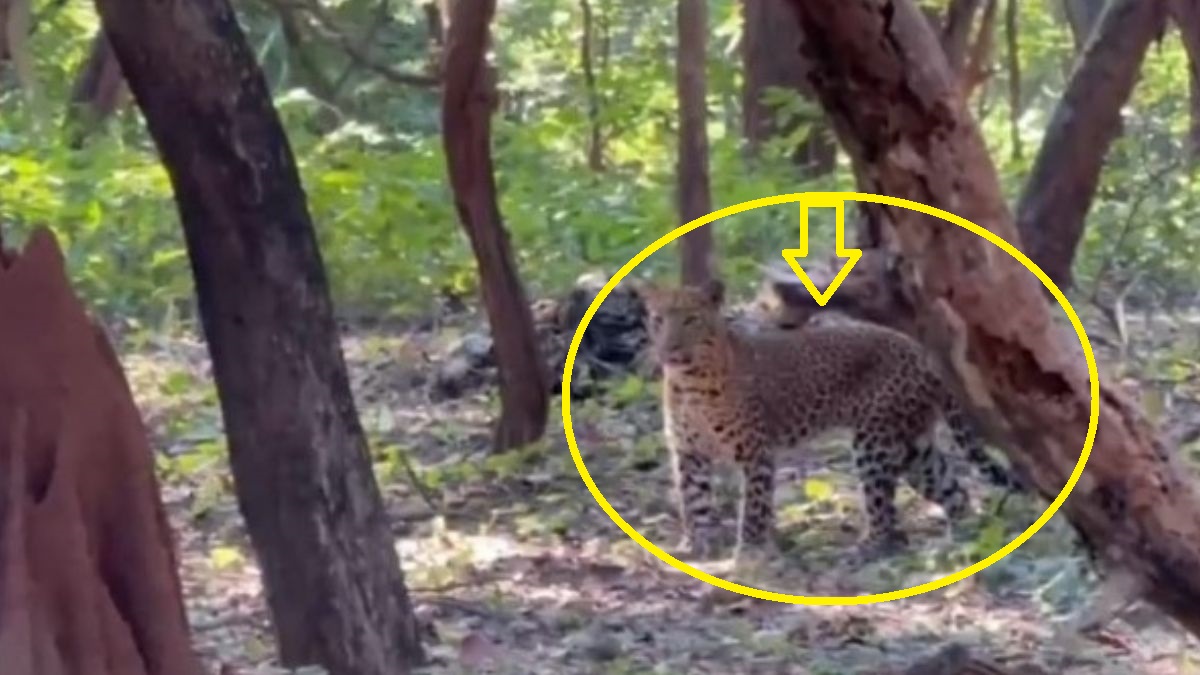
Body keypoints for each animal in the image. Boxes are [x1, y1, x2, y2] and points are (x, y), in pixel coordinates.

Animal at [637, 278, 1020, 560]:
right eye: (658, 320)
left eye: (691, 319)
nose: (669, 348)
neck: (688, 382)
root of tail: (921, 352)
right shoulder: (688, 453)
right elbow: (693, 501)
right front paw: (695, 546)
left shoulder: (755, 452)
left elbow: (754, 507)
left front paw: (748, 553)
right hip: (913, 446)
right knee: (954, 491)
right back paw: (961, 541)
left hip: (874, 442)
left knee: (884, 514)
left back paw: (862, 550)